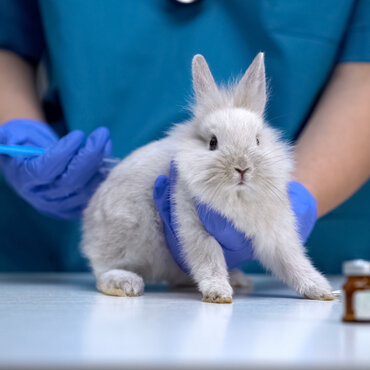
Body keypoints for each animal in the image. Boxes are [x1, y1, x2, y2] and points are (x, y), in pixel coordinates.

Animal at [81, 53, 336, 304]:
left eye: (257, 140)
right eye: (213, 142)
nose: (242, 168)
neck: (237, 197)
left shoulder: (276, 233)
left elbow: (293, 261)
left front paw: (321, 290)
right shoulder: (196, 226)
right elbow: (209, 259)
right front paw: (218, 293)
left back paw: (238, 279)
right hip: (126, 236)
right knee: (103, 272)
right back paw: (126, 283)